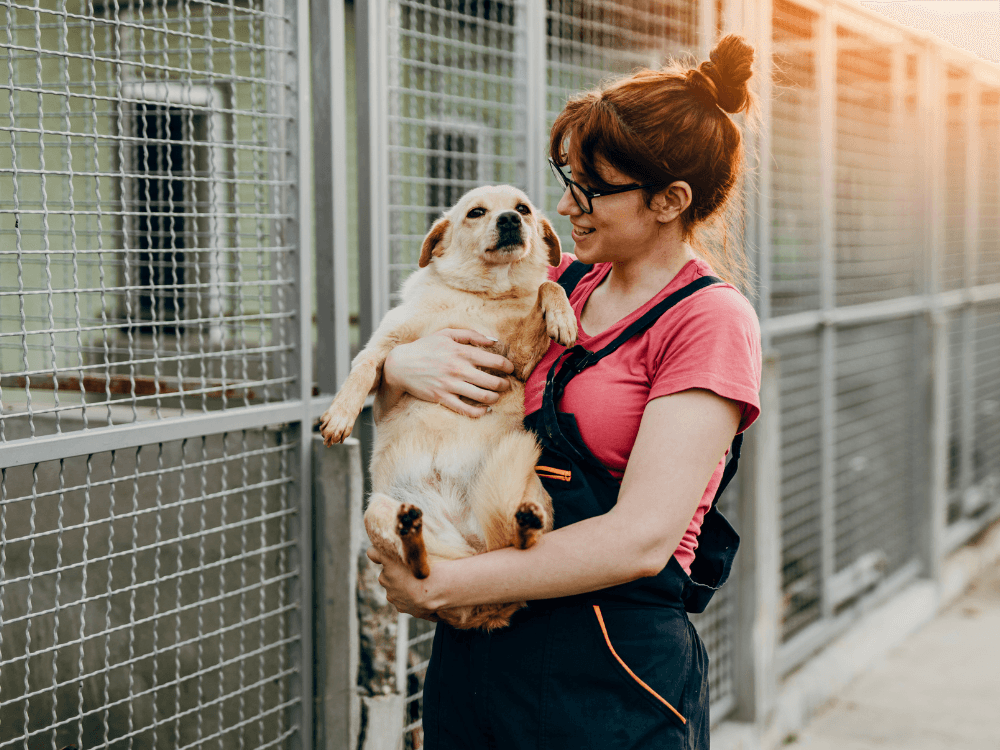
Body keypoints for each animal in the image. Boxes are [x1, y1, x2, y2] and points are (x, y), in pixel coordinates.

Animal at [320, 185, 580, 632]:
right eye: (476, 212)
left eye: (523, 209)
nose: (510, 219)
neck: (480, 296)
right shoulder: (387, 343)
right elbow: (364, 367)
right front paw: (340, 415)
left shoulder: (517, 360)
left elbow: (547, 289)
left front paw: (562, 317)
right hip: (376, 511)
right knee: (423, 571)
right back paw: (413, 537)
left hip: (530, 492)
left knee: (519, 545)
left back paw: (523, 526)